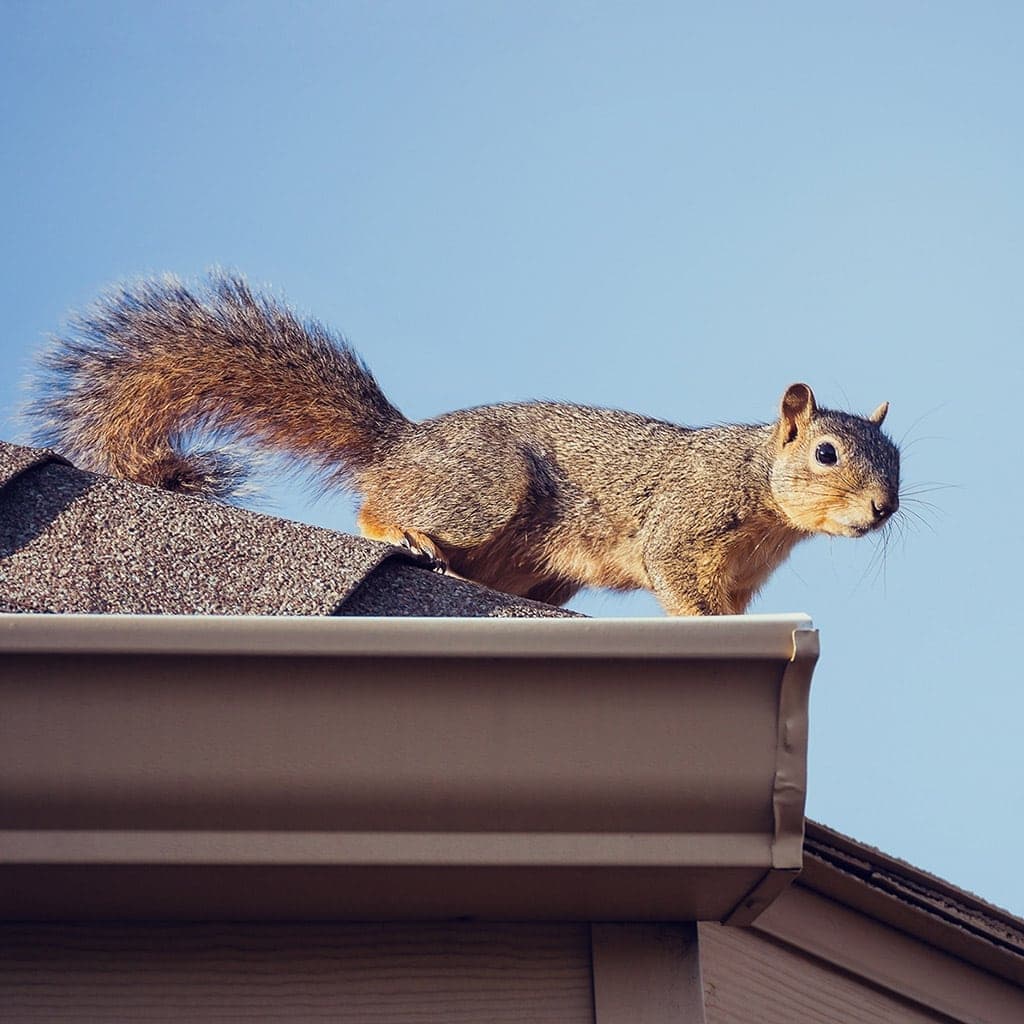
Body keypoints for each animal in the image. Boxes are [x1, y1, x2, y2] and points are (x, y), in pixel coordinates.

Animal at [29, 271, 901, 615]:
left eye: (898, 460)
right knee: (377, 506)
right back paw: (406, 533)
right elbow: (677, 578)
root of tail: (404, 444)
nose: (883, 510)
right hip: (484, 490)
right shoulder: (686, 523)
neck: (763, 490)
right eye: (826, 453)